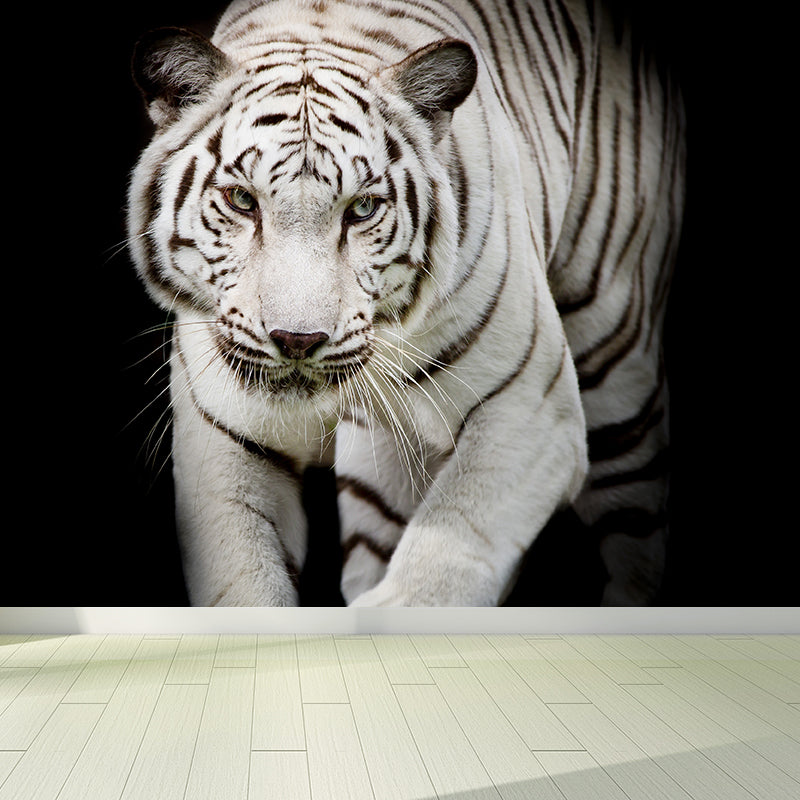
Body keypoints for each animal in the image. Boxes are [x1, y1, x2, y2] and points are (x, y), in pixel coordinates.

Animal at [127, 0, 685, 607]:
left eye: (362, 208)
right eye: (241, 200)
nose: (298, 340)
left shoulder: (531, 406)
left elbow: (443, 560)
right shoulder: (226, 440)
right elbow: (245, 585)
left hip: (618, 368)